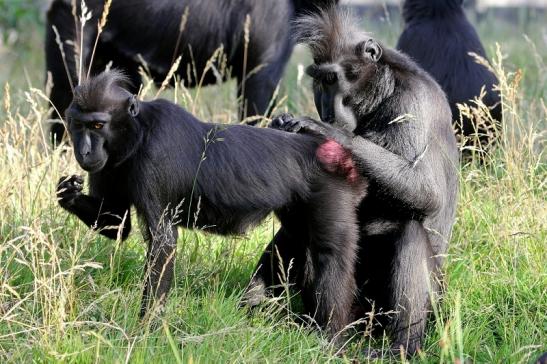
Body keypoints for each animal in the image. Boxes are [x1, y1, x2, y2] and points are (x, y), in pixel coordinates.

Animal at [55, 70, 366, 342]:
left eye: (98, 125)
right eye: (78, 124)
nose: (84, 151)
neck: (137, 133)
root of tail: (331, 148)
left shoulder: (153, 157)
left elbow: (163, 242)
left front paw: (145, 329)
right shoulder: (108, 167)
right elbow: (117, 224)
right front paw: (67, 192)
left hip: (330, 190)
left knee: (330, 256)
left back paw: (330, 340)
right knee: (295, 244)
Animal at [250, 9, 460, 358]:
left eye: (333, 79)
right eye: (319, 82)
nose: (327, 110)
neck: (384, 91)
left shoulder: (412, 104)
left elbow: (427, 194)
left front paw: (323, 131)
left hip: (421, 302)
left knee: (411, 231)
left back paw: (401, 347)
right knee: (299, 229)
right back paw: (259, 309)